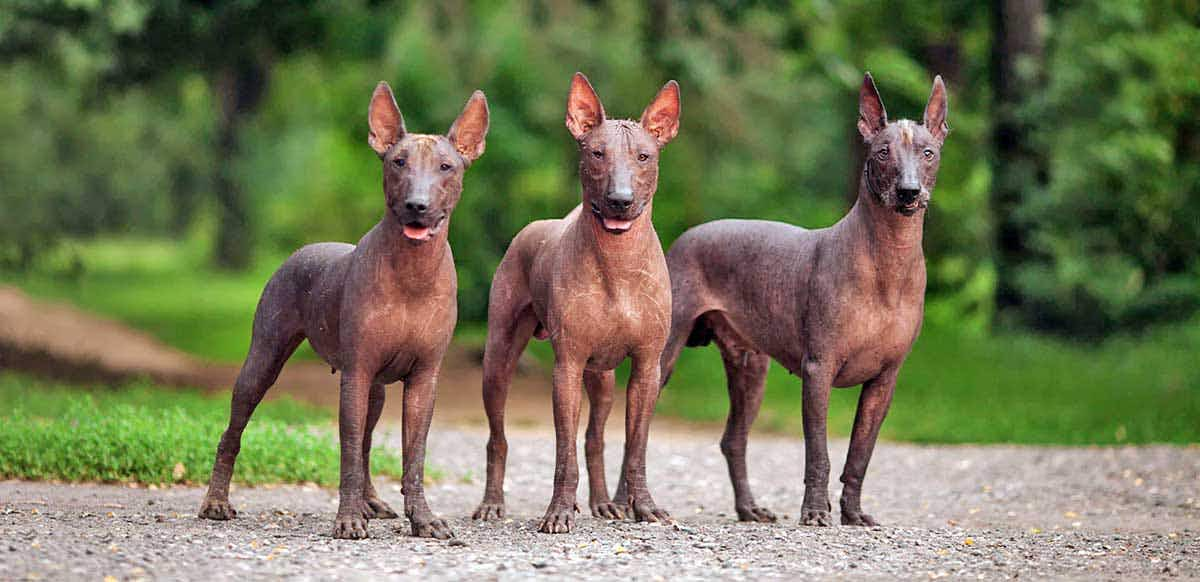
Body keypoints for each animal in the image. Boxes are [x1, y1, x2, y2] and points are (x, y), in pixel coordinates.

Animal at [196, 80, 487, 540]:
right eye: (398, 162)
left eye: (446, 167)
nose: (417, 205)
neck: (412, 272)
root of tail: (303, 249)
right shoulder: (356, 374)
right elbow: (348, 450)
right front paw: (348, 518)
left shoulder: (424, 380)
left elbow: (413, 457)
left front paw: (422, 519)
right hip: (263, 362)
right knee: (234, 431)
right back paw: (216, 502)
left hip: (377, 390)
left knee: (367, 443)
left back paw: (372, 502)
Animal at [470, 71, 681, 530]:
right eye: (597, 153)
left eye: (644, 156)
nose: (620, 199)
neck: (618, 264)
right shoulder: (565, 368)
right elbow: (563, 452)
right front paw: (559, 511)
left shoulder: (647, 367)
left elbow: (634, 448)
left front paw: (643, 506)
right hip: (498, 360)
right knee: (498, 438)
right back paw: (492, 503)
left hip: (602, 379)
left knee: (595, 439)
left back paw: (604, 503)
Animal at [657, 72, 945, 525]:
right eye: (883, 153)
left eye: (928, 153)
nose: (908, 192)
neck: (887, 261)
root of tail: (685, 238)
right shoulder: (818, 371)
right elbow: (819, 454)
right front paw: (814, 511)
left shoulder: (885, 381)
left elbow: (860, 455)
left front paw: (853, 514)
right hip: (664, 357)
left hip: (750, 370)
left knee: (732, 440)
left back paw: (749, 508)